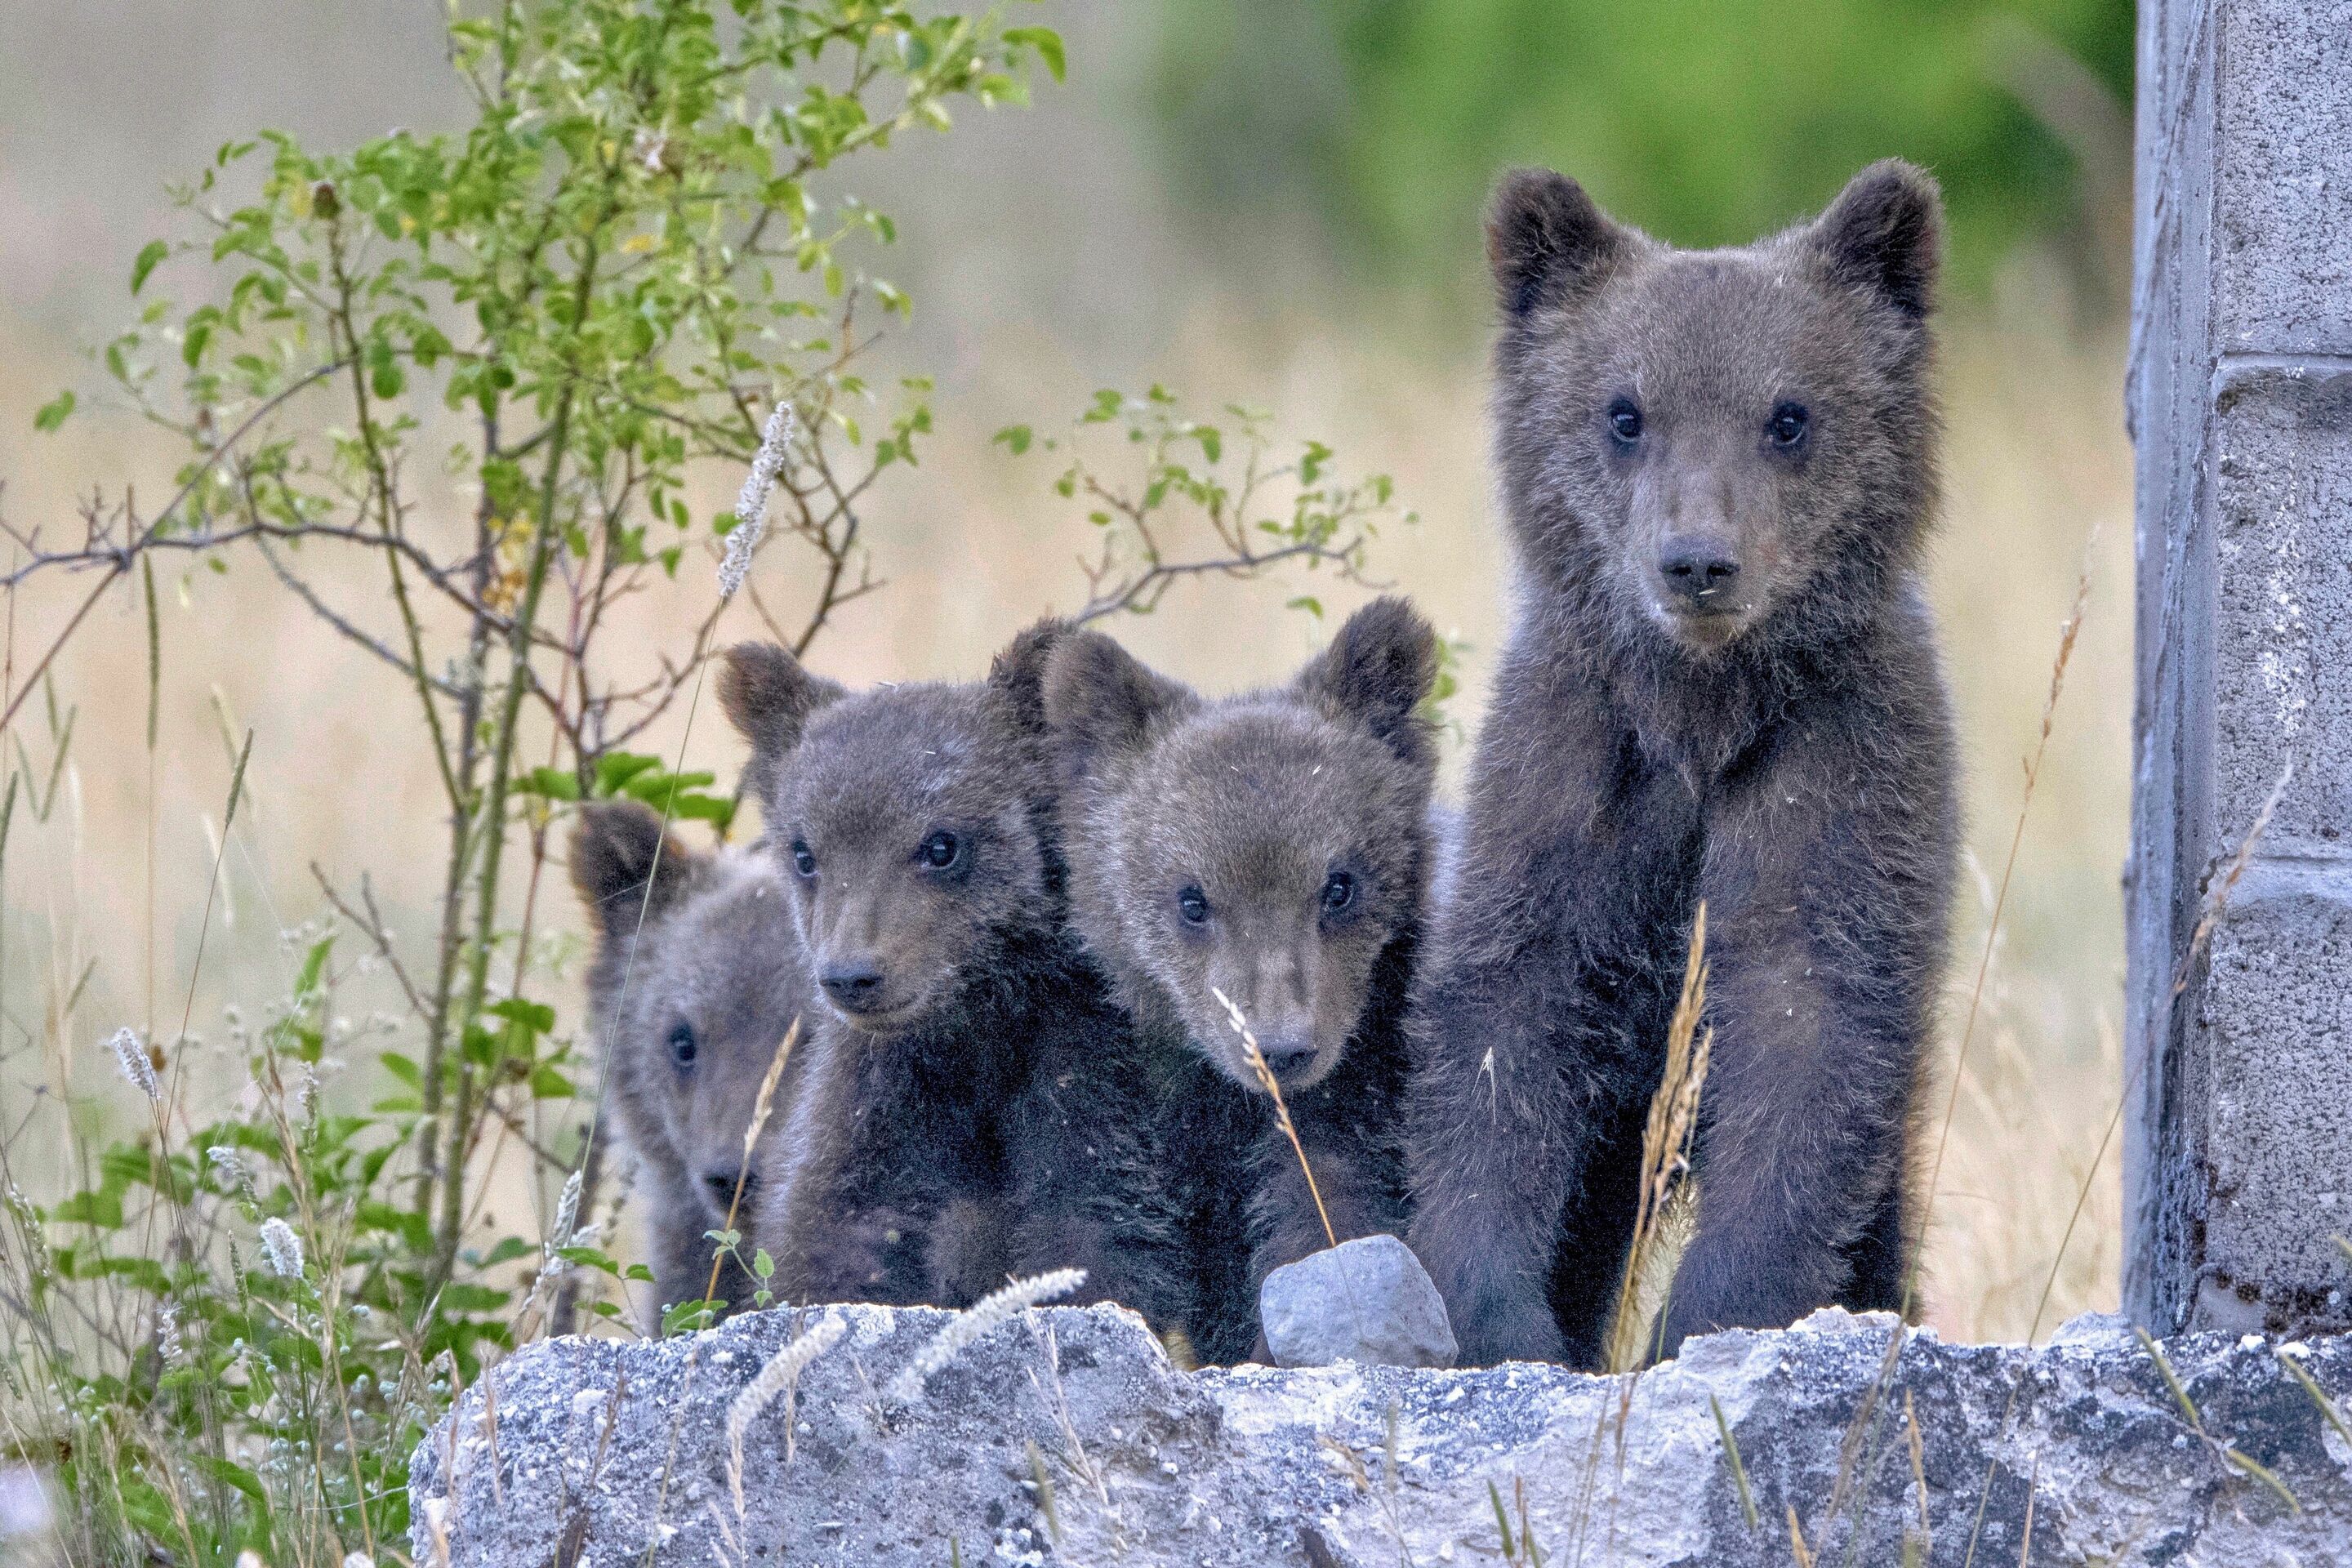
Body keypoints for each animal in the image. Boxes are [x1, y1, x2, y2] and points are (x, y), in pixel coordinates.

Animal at [716, 623, 1192, 1332]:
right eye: (805, 852)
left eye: (941, 844)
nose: (853, 975)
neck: (976, 1030)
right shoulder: (881, 1096)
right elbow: (838, 1231)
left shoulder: (1085, 1064)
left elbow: (1096, 1225)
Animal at [1042, 596, 1441, 1364]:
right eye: (1192, 899)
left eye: (1339, 885)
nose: (1280, 1049)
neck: (1216, 1110)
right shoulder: (1105, 1083)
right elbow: (1099, 1229)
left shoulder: (1358, 1075)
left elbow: (1324, 1207)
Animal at [1406, 161, 1958, 1367]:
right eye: (1625, 412)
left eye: (1789, 416)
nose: (1699, 562)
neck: (1701, 717)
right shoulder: (1576, 772)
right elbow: (1504, 1027)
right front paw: (1502, 1313)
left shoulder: (1835, 775)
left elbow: (1807, 1031)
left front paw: (1705, 1317)